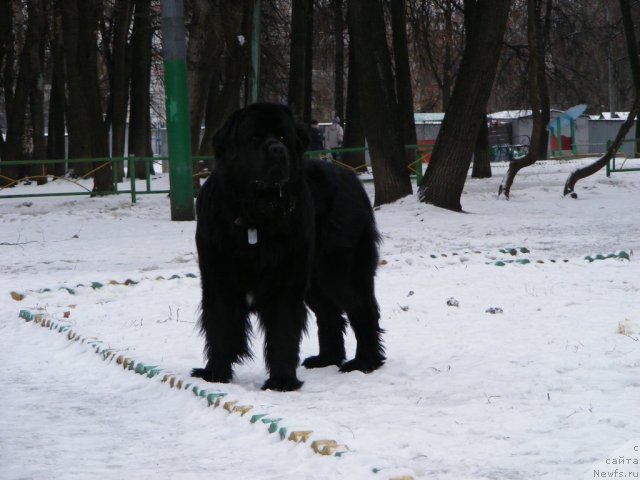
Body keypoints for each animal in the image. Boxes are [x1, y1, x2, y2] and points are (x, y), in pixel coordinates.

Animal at [188, 102, 382, 390]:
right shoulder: (218, 277)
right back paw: (327, 359)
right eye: (254, 138)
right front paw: (215, 375)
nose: (277, 150)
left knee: (362, 309)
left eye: (282, 137)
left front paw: (281, 381)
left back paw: (364, 363)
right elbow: (220, 326)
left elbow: (282, 330)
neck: (256, 216)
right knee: (330, 313)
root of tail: (352, 177)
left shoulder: (285, 281)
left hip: (340, 269)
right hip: (315, 279)